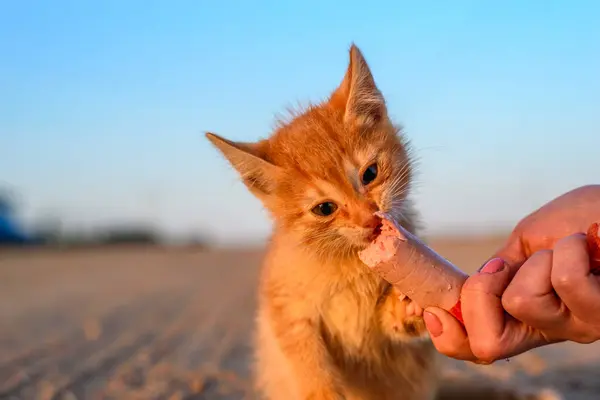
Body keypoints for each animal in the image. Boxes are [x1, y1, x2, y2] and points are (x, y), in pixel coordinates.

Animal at [207, 45, 564, 400]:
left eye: (370, 174)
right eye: (325, 208)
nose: (369, 218)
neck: (348, 263)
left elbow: (393, 326)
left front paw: (407, 307)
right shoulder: (287, 310)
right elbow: (307, 363)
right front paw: (322, 391)